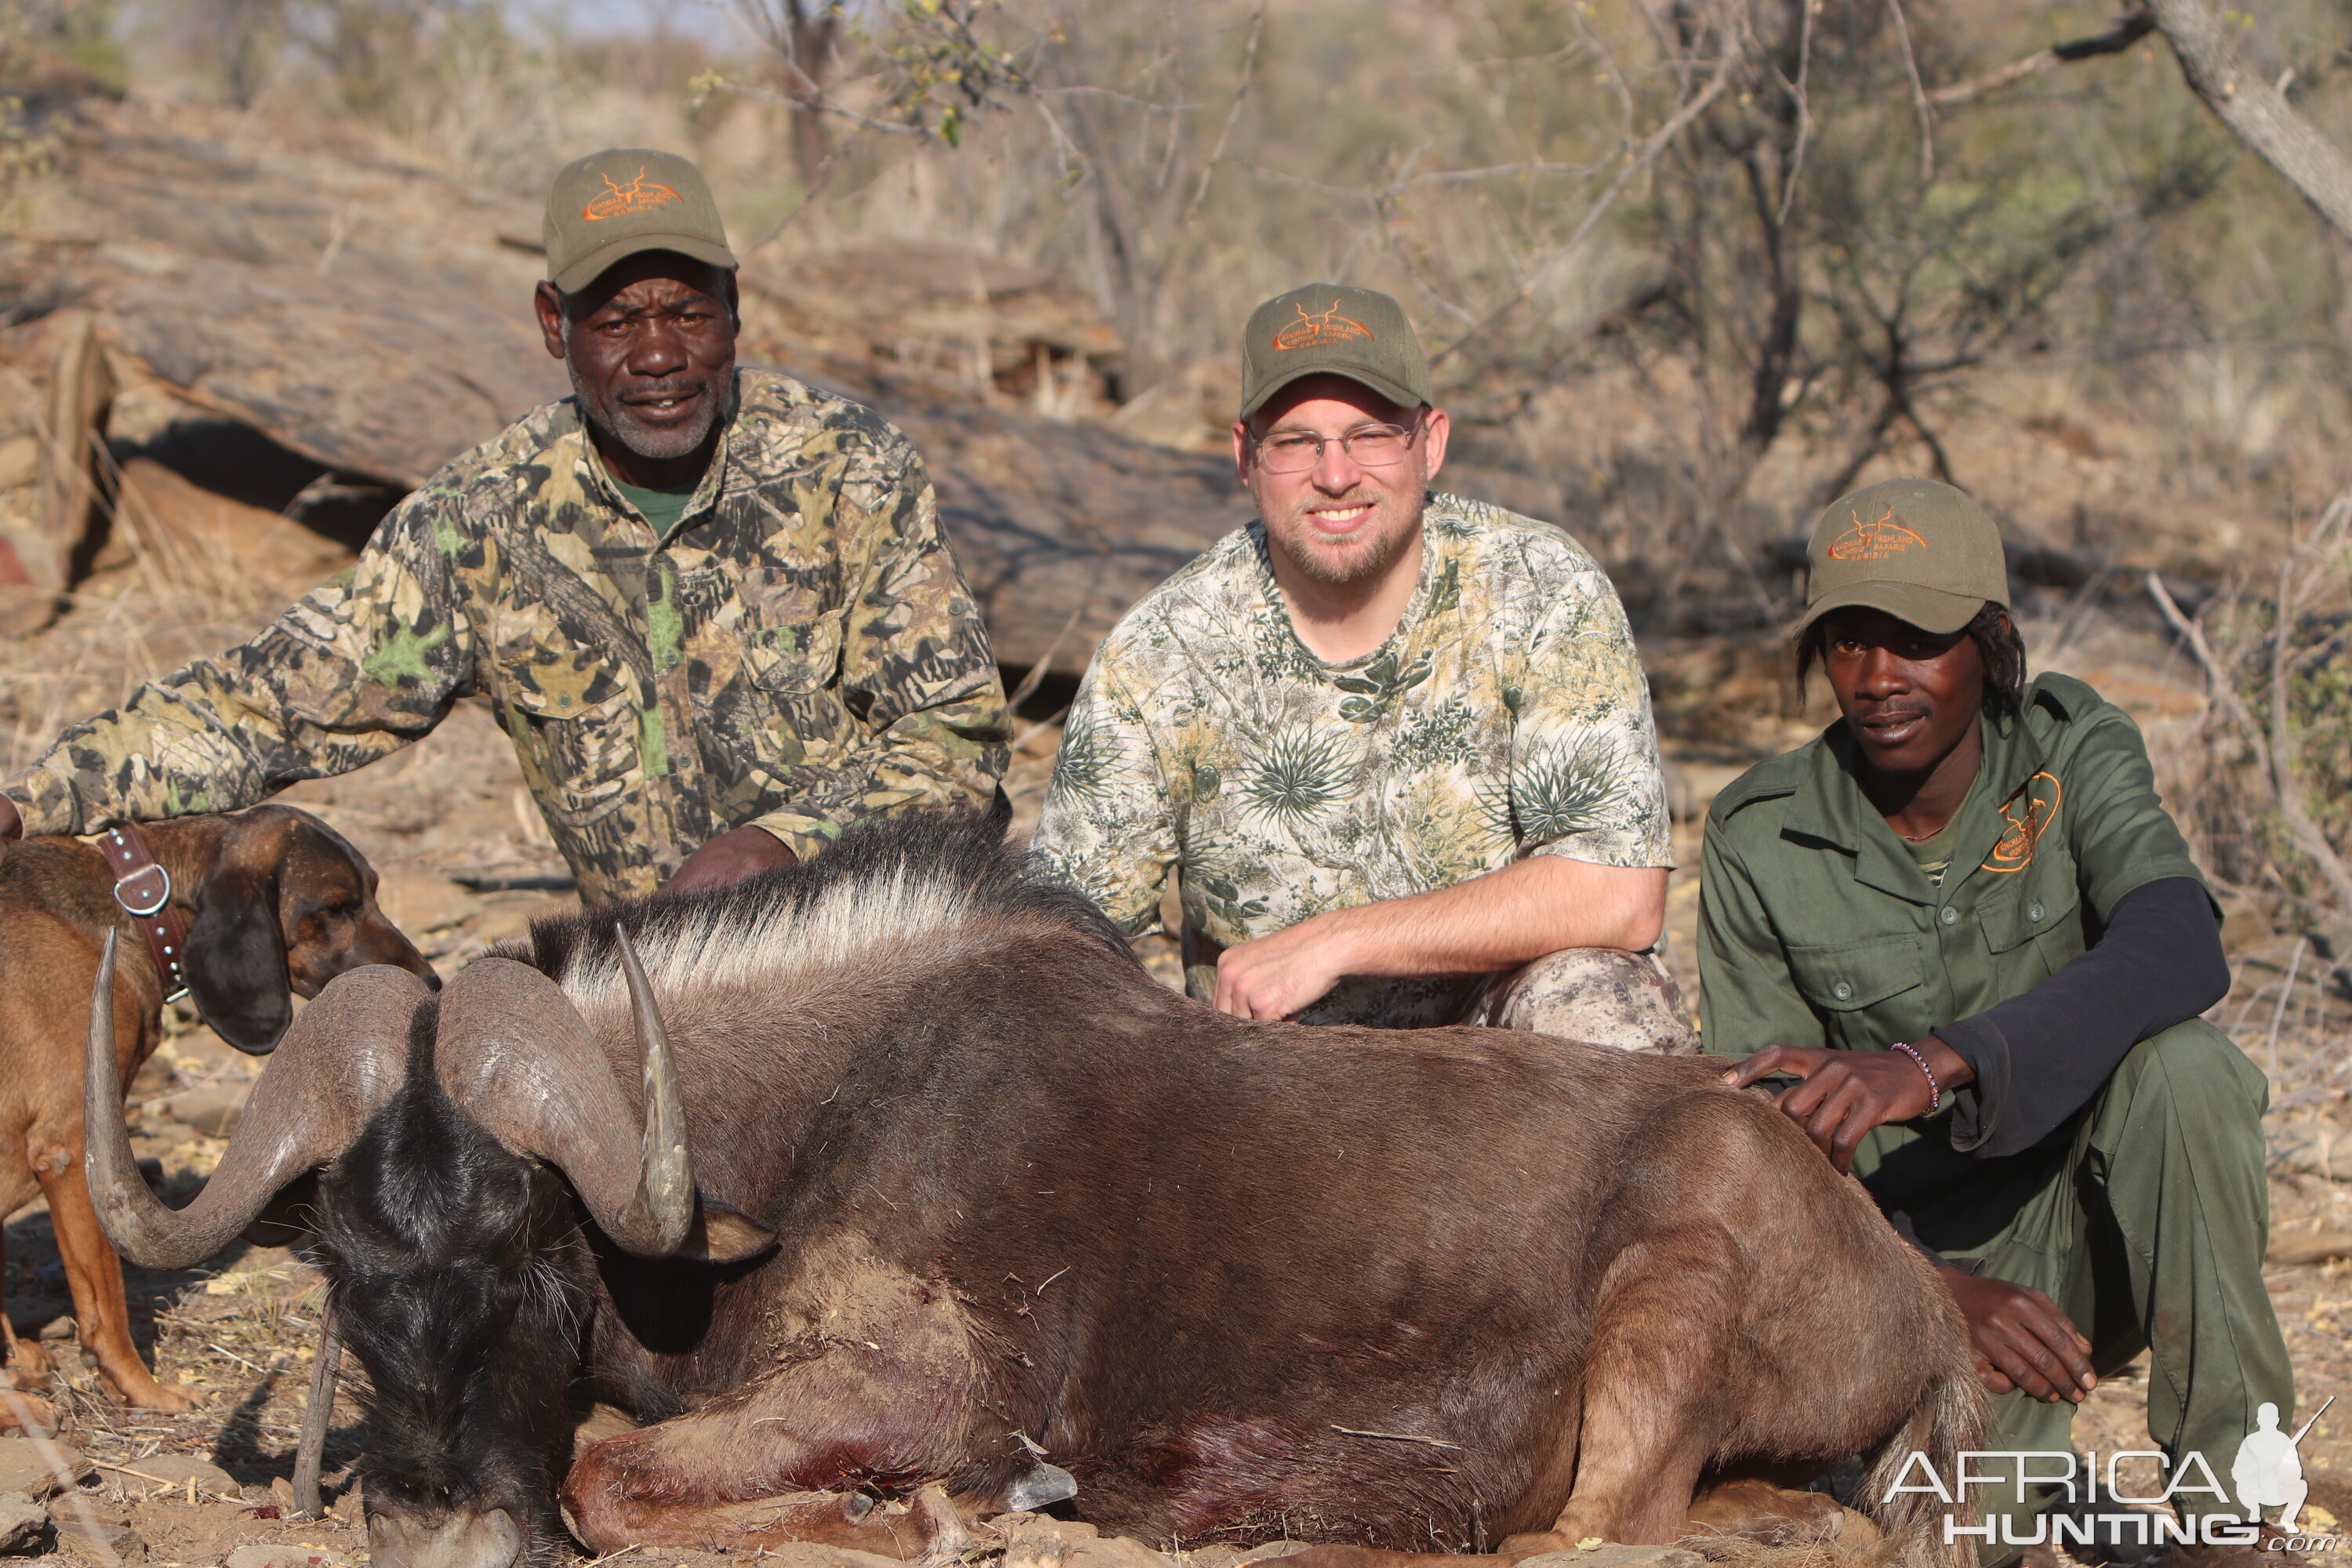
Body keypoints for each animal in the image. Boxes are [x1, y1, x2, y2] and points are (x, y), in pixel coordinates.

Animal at [0, 808, 433, 1439]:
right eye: (335, 908)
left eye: (373, 891)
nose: (432, 981)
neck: (135, 900)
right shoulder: (74, 1149)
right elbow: (107, 1305)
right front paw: (144, 1391)